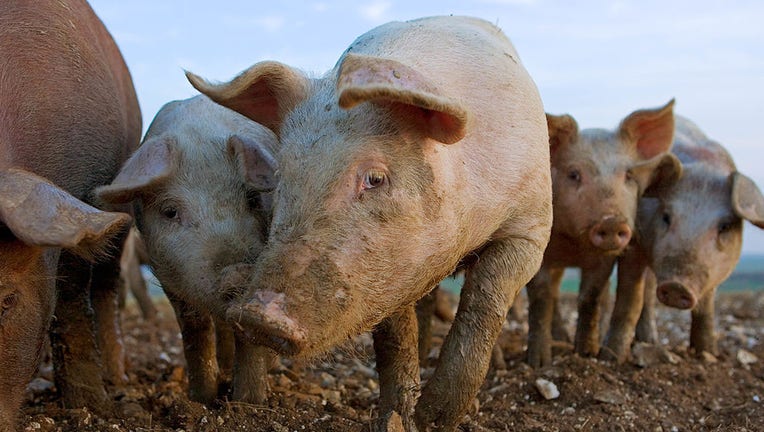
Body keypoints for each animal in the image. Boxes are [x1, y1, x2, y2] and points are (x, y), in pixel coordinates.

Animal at [0, 0, 140, 426]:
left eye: (7, 301)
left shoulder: (84, 190)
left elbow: (73, 301)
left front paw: (91, 405)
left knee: (108, 286)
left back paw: (119, 379)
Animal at [96, 94, 278, 404]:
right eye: (170, 211)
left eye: (253, 199)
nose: (238, 271)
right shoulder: (168, 274)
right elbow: (195, 329)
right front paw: (202, 399)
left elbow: (249, 336)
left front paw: (249, 402)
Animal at [188, 15, 552, 430]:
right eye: (282, 175)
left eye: (375, 178)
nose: (259, 316)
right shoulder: (389, 270)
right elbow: (394, 336)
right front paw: (399, 417)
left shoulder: (533, 225)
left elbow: (485, 300)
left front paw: (433, 417)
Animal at [524, 101, 680, 368]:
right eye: (574, 174)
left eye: (628, 175)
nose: (612, 221)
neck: (574, 245)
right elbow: (541, 298)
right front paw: (538, 363)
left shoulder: (604, 259)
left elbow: (590, 297)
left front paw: (587, 354)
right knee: (554, 293)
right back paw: (560, 340)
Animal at [604, 115, 764, 362]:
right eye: (666, 216)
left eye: (725, 226)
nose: (677, 285)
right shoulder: (633, 242)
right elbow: (630, 300)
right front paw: (610, 357)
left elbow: (706, 309)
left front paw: (708, 353)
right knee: (647, 294)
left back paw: (650, 342)